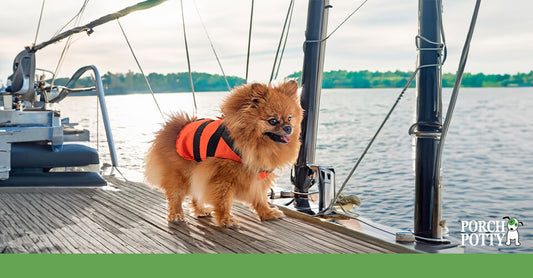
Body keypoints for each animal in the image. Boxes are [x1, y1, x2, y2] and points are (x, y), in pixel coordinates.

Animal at [145, 79, 302, 227]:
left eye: (289, 118)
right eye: (273, 121)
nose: (288, 128)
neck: (249, 140)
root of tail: (176, 127)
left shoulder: (257, 175)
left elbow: (260, 197)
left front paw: (266, 213)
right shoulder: (221, 176)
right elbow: (223, 200)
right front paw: (225, 219)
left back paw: (200, 210)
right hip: (181, 174)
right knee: (175, 196)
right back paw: (176, 214)